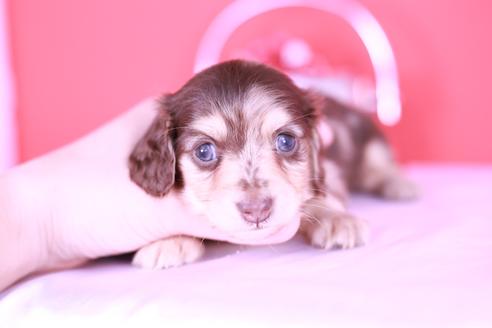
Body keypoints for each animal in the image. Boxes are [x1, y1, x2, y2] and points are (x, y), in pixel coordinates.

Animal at [128, 59, 416, 270]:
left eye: (286, 141)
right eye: (204, 151)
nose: (257, 211)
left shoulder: (330, 168)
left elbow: (322, 192)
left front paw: (336, 219)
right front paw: (169, 241)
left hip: (370, 141)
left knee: (378, 164)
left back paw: (400, 184)